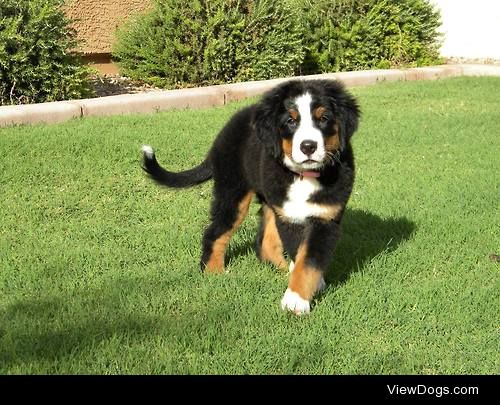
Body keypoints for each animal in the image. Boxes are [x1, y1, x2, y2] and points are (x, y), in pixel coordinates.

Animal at [141, 78, 360, 312]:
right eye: (291, 121)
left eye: (324, 118)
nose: (308, 146)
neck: (304, 176)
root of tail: (219, 139)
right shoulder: (290, 217)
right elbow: (301, 256)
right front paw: (296, 300)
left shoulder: (325, 218)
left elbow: (308, 260)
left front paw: (299, 294)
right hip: (233, 193)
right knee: (215, 232)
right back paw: (213, 272)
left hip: (269, 199)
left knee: (264, 242)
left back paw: (280, 268)